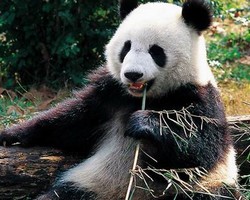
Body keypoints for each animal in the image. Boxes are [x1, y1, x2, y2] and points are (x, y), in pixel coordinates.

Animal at [0, 0, 242, 200]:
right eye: (126, 47)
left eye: (156, 51)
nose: (133, 74)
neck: (145, 97)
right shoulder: (111, 93)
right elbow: (71, 122)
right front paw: (11, 135)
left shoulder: (198, 98)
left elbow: (199, 151)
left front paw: (144, 124)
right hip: (90, 185)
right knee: (61, 195)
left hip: (206, 188)